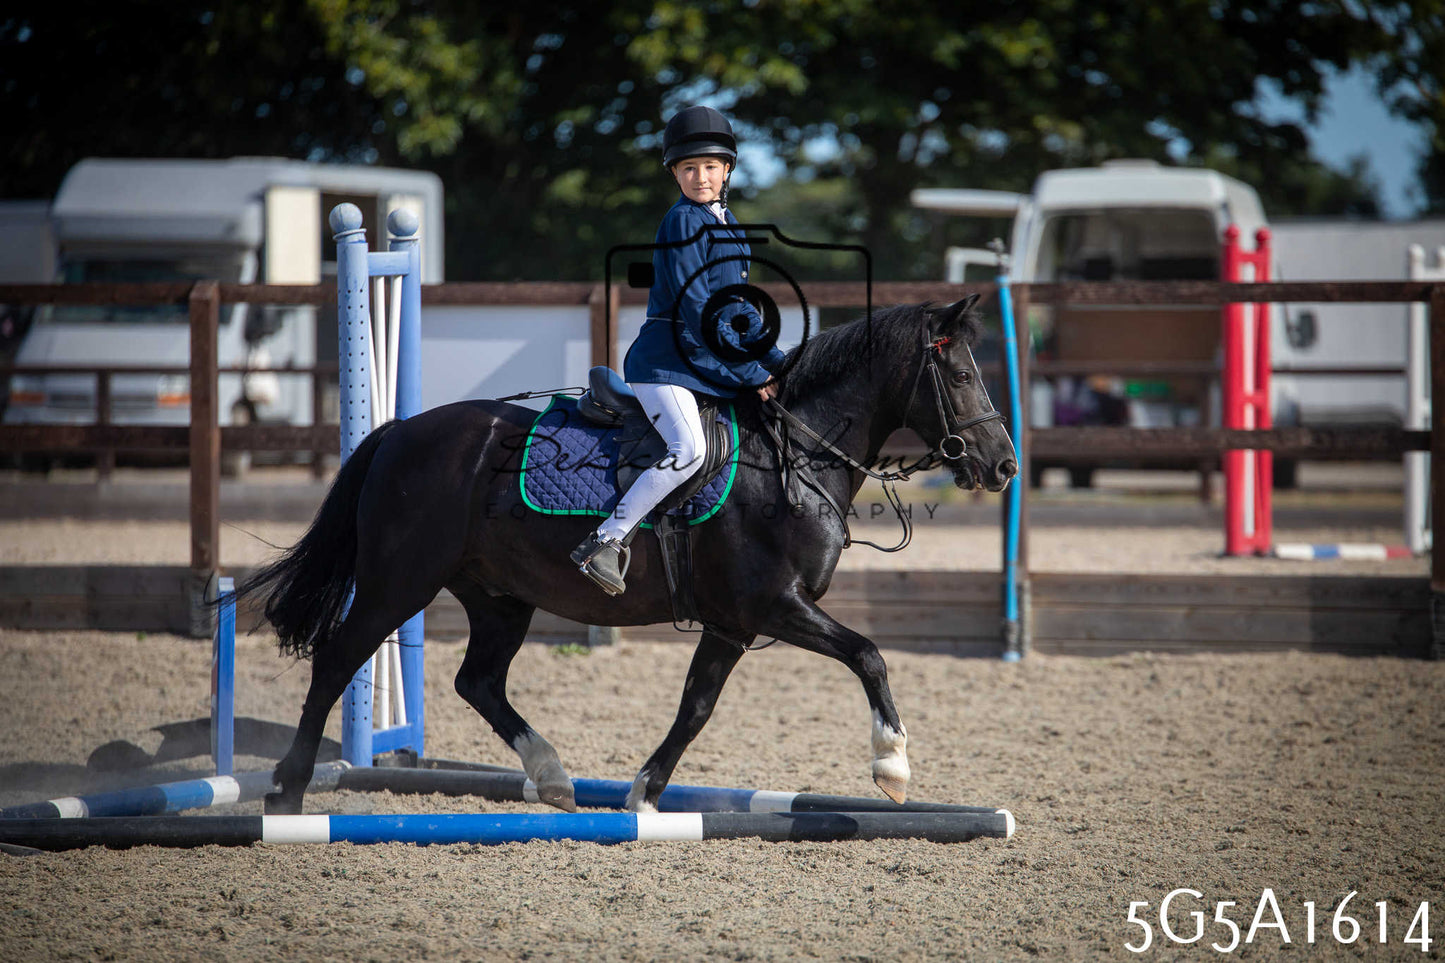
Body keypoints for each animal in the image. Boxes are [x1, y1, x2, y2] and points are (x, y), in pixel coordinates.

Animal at [239, 295, 1017, 815]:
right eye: (959, 377)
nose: (1004, 465)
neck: (794, 455)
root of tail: (400, 432)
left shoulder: (731, 624)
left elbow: (696, 705)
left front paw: (643, 794)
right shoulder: (773, 606)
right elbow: (869, 655)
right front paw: (892, 764)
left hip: (498, 598)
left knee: (478, 681)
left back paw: (553, 776)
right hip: (398, 583)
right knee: (338, 660)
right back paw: (288, 791)